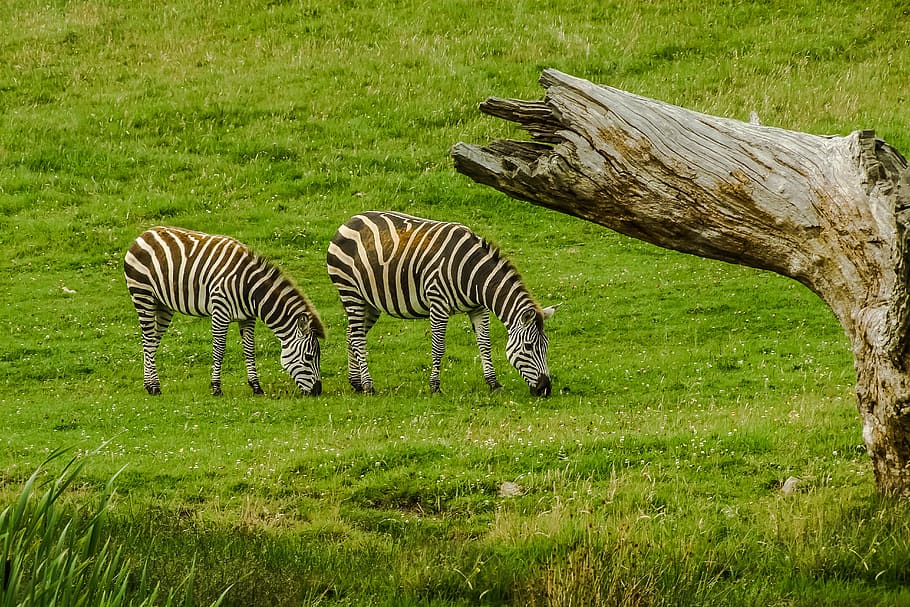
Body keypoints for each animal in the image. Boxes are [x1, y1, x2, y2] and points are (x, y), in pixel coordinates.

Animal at [124, 226, 324, 396]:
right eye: (308, 357)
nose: (317, 391)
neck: (250, 288)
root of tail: (144, 234)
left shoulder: (248, 317)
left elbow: (249, 350)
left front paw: (256, 387)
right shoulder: (220, 312)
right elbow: (219, 349)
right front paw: (216, 388)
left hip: (163, 305)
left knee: (152, 342)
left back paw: (149, 384)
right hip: (142, 295)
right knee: (148, 340)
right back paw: (154, 387)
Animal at [326, 211, 556, 396]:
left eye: (546, 346)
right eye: (528, 347)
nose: (545, 389)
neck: (473, 274)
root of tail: (349, 220)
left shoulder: (478, 308)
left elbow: (485, 344)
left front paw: (494, 384)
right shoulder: (438, 303)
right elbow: (438, 347)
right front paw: (435, 386)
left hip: (370, 301)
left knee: (351, 334)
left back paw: (356, 383)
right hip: (351, 292)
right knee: (357, 339)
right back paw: (368, 385)